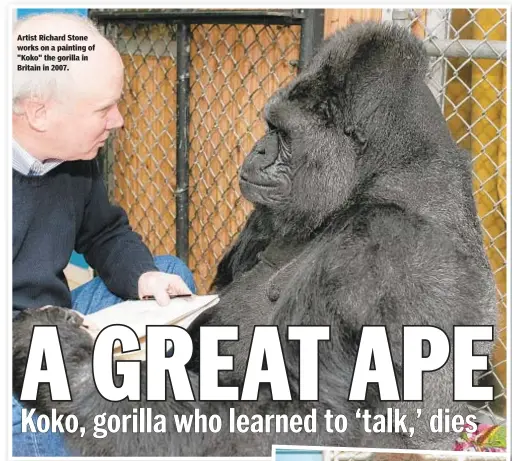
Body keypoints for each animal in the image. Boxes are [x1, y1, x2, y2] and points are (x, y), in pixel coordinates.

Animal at [12, 20, 496, 452]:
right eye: (270, 125)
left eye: (283, 133)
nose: (258, 149)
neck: (373, 177)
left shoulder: (393, 252)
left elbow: (316, 415)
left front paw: (65, 361)